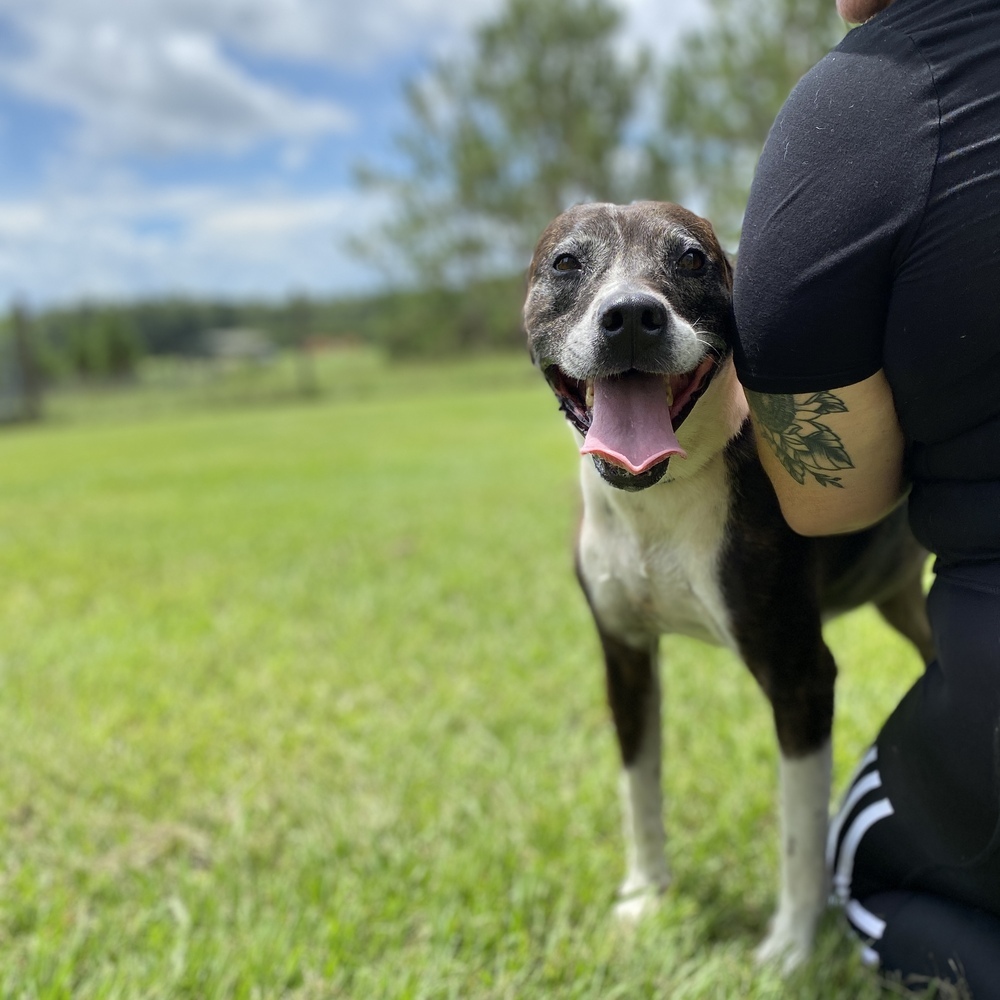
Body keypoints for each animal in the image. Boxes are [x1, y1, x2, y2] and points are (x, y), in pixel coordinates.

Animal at [520, 199, 932, 972]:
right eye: (565, 262)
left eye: (690, 259)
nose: (630, 315)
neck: (660, 495)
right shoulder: (625, 659)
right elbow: (640, 791)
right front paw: (648, 895)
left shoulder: (800, 676)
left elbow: (801, 830)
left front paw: (791, 948)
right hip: (901, 599)